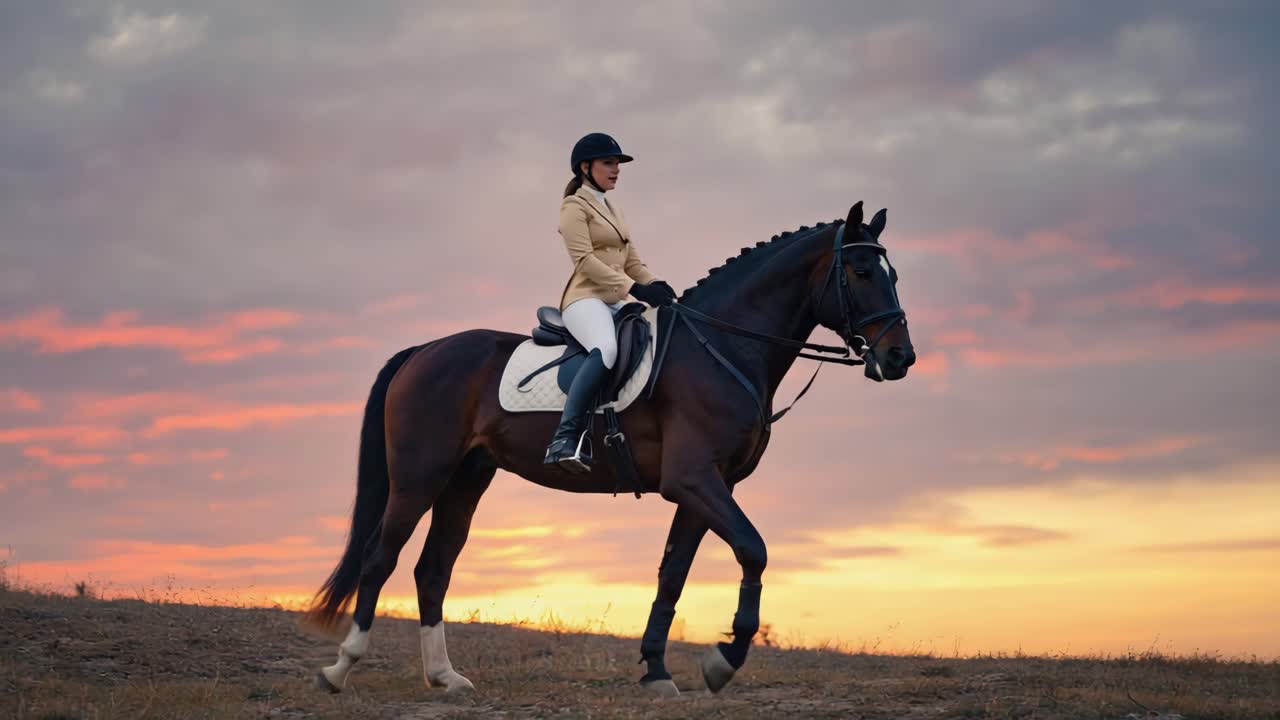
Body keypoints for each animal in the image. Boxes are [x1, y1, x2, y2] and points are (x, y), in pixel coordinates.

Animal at [302, 201, 915, 696]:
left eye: (893, 273)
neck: (722, 347)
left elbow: (673, 574)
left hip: (466, 479)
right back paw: (339, 671)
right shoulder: (694, 479)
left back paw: (445, 678)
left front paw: (657, 671)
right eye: (862, 271)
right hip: (419, 476)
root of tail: (424, 350)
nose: (900, 357)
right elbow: (753, 549)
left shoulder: (707, 487)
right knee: (380, 557)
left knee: (433, 569)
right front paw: (723, 662)